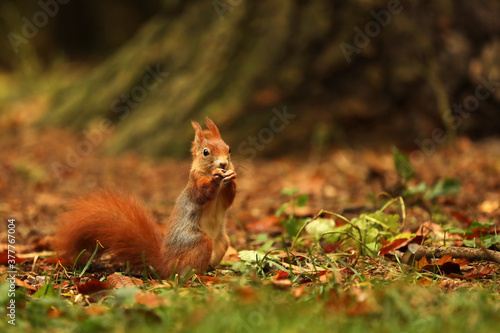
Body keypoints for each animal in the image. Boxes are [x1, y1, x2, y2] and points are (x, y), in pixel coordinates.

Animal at [55, 118, 235, 276]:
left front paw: (232, 177)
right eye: (206, 152)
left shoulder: (223, 198)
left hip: (223, 241)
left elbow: (228, 200)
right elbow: (201, 194)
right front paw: (215, 177)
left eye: (229, 149)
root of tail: (165, 263)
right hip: (199, 242)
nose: (223, 164)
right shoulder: (194, 186)